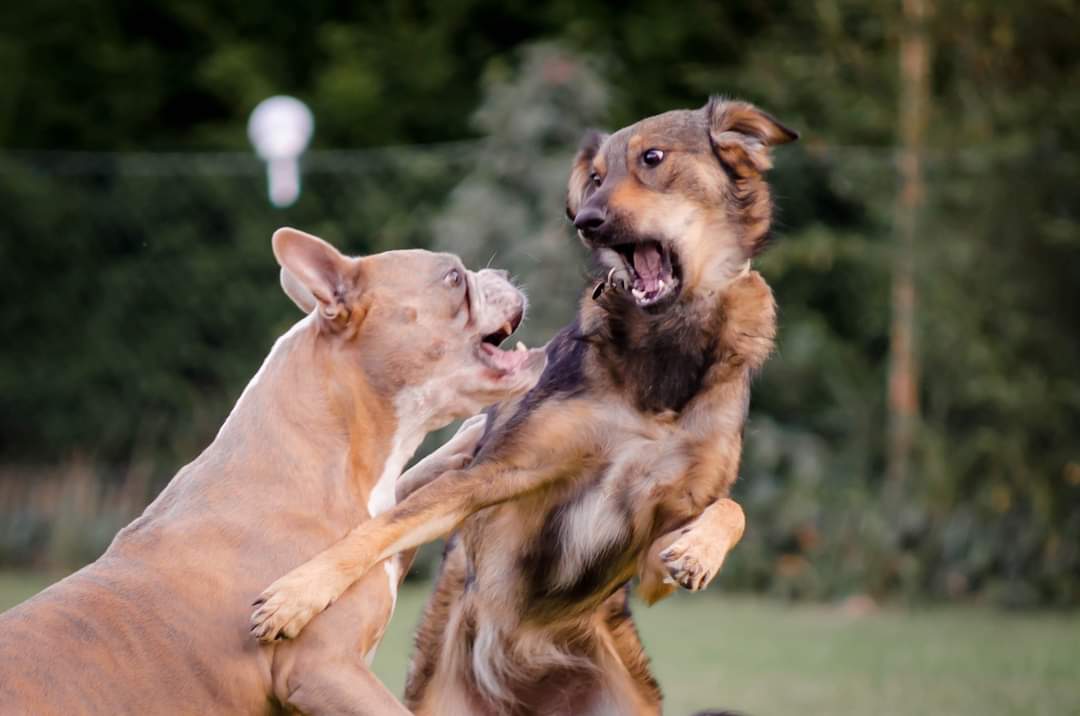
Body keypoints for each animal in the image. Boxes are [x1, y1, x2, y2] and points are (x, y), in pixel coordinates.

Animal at [0, 227, 540, 716]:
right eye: (453, 278)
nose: (502, 275)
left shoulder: (379, 527)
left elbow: (407, 501)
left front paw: (469, 440)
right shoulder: (324, 671)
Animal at [250, 98, 794, 712]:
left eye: (653, 158)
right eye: (595, 178)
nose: (586, 221)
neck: (665, 346)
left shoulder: (658, 545)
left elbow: (730, 510)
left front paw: (700, 552)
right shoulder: (500, 472)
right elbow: (380, 527)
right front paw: (297, 593)